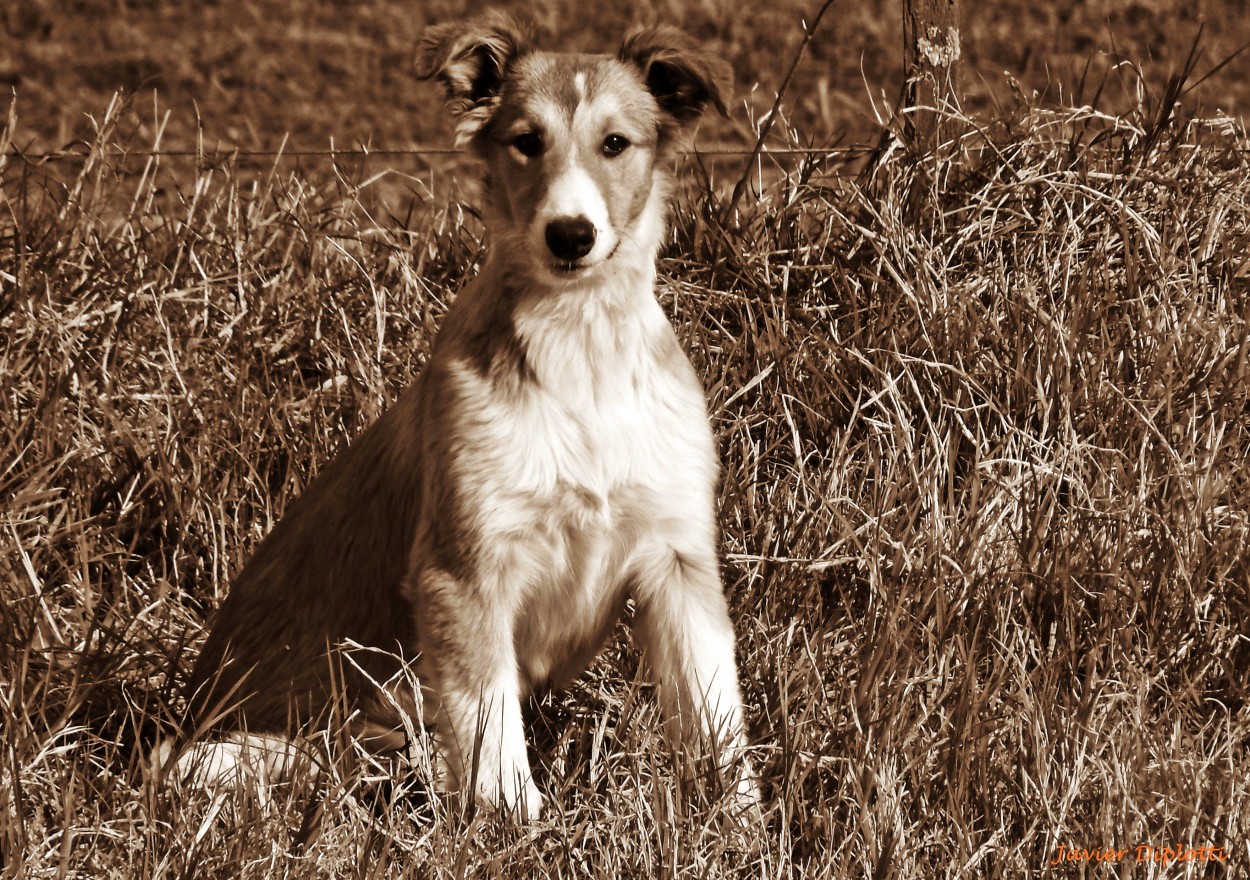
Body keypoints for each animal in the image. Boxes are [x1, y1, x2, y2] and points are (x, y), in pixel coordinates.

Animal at [171, 10, 755, 820]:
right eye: (527, 141)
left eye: (615, 143)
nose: (570, 234)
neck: (582, 349)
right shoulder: (464, 569)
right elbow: (489, 727)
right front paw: (515, 826)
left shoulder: (679, 560)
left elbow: (714, 716)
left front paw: (742, 825)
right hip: (248, 754)